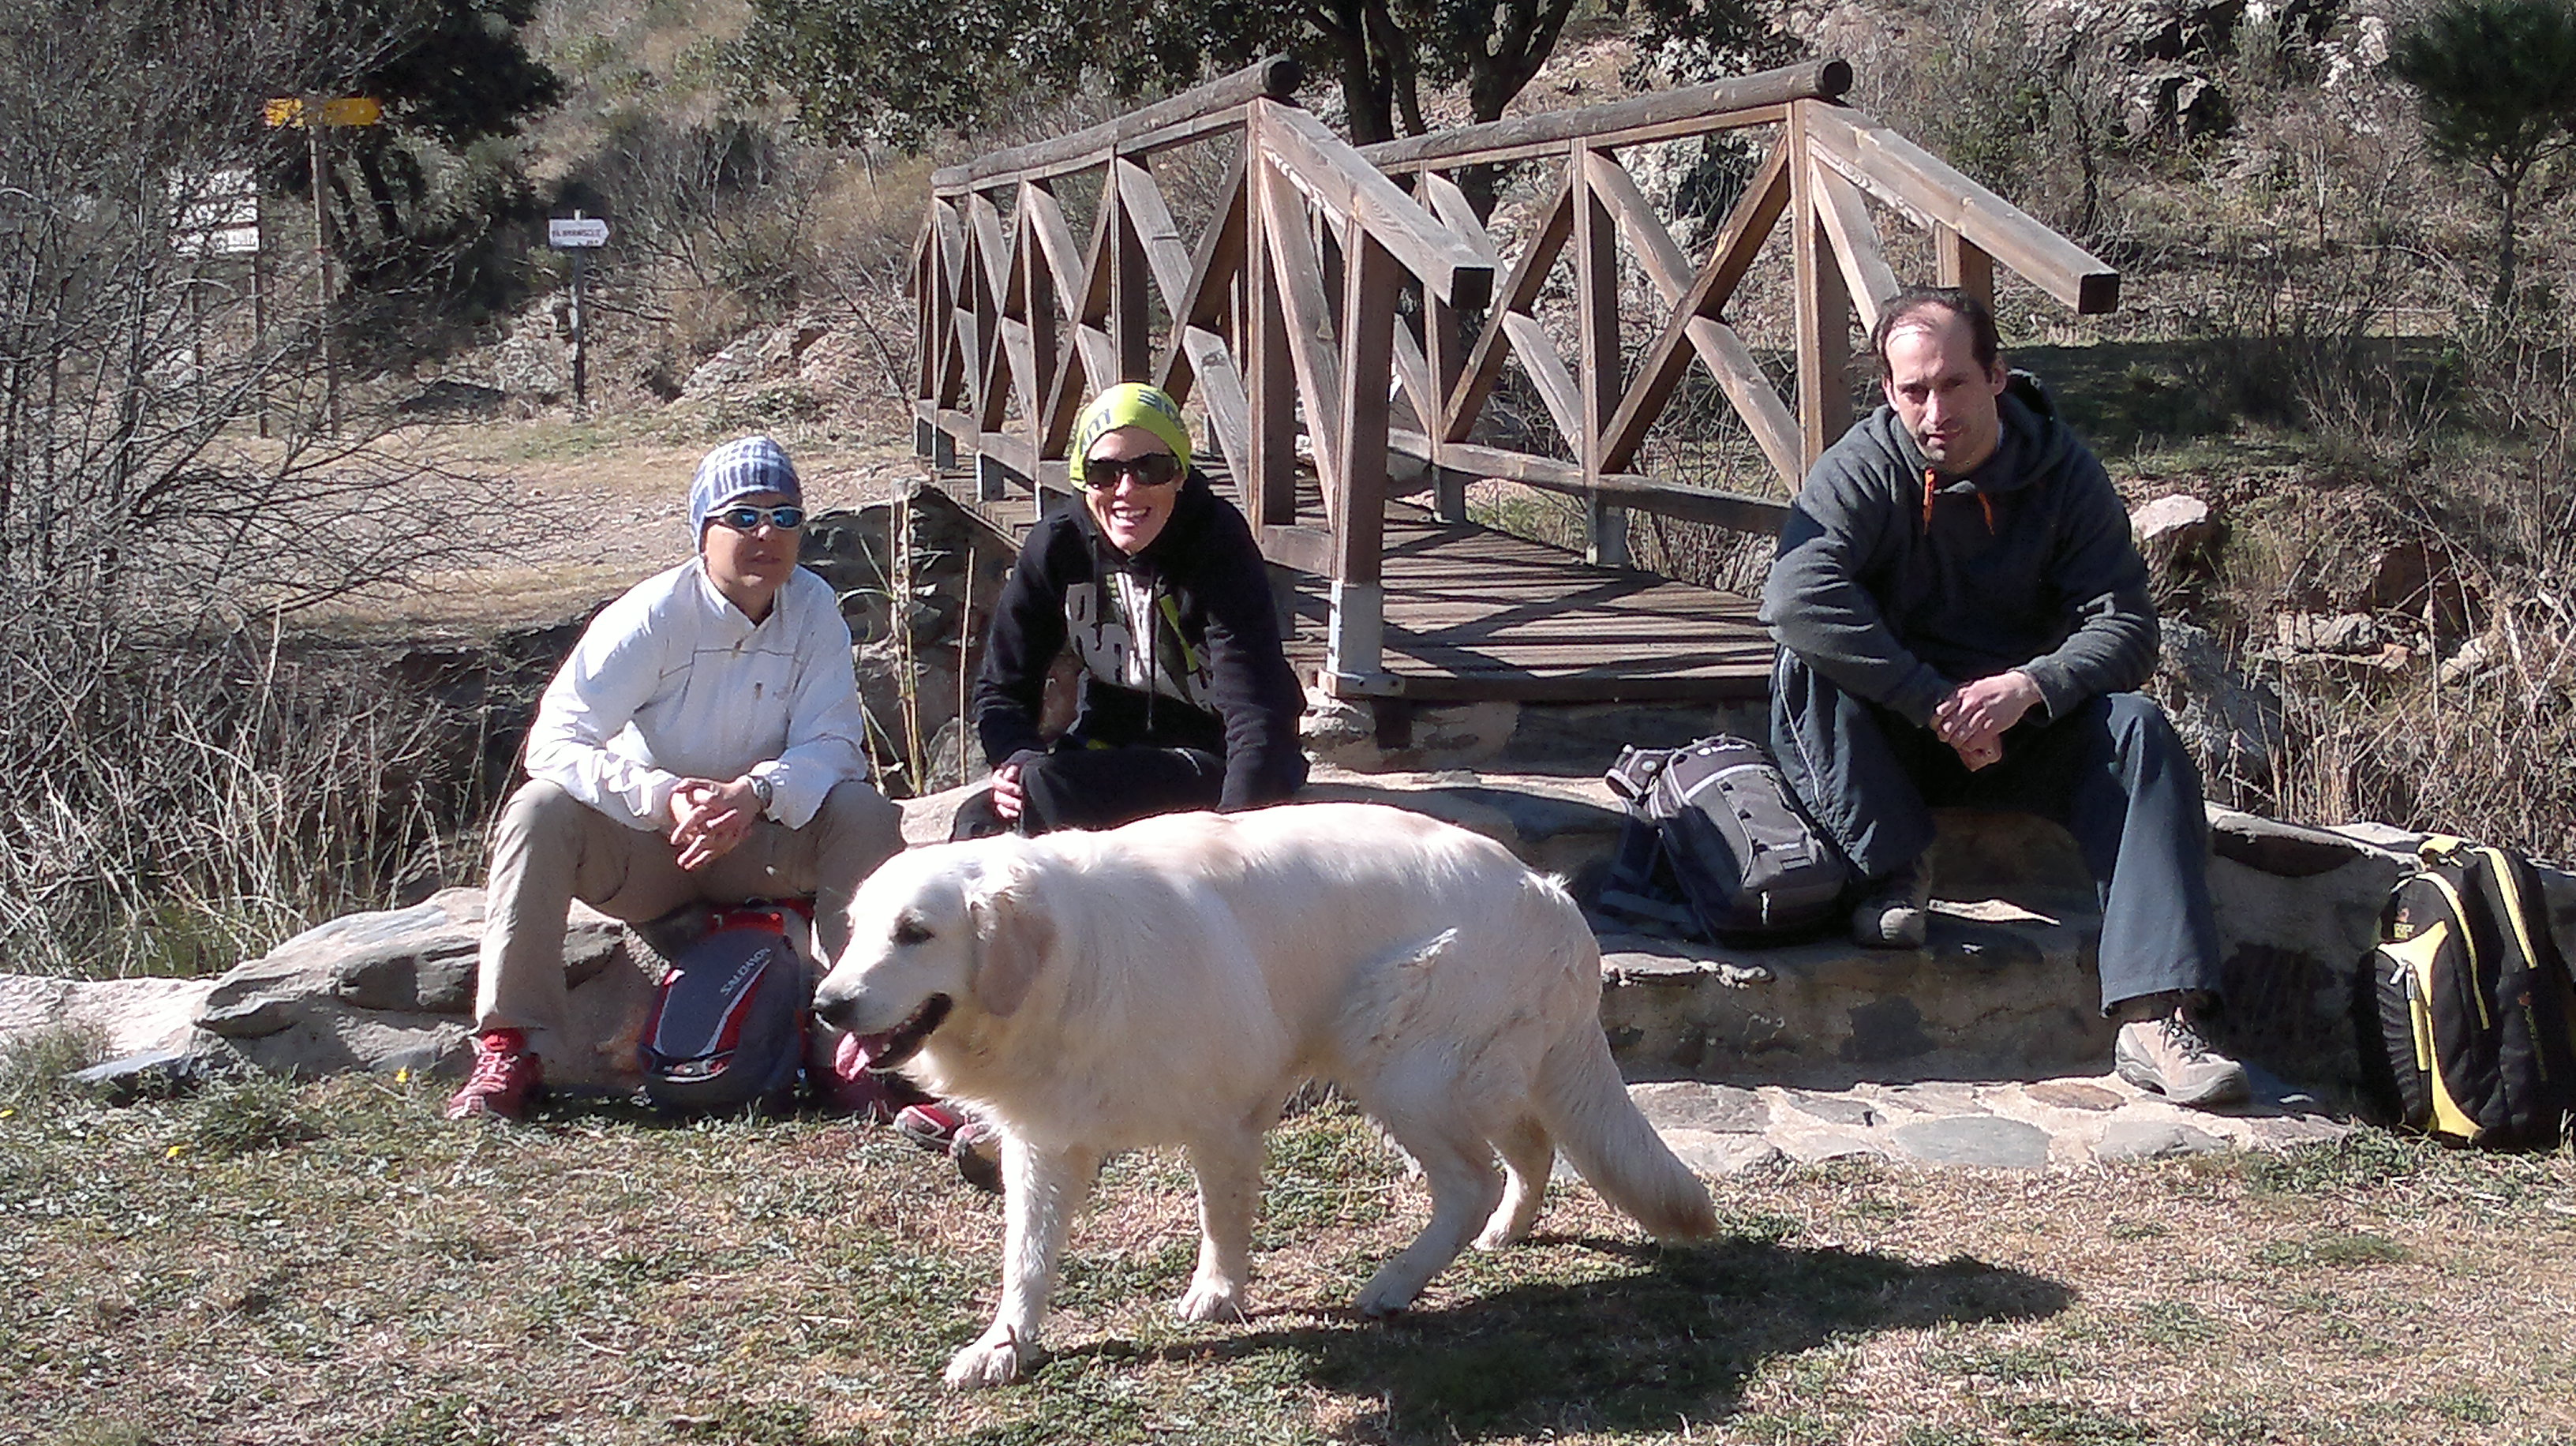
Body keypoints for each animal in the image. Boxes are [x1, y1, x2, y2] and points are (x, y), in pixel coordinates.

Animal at [812, 801, 1716, 1389]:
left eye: (915, 933)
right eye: (854, 930)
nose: (827, 1006)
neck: (1073, 966)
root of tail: (1552, 894)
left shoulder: (1225, 1117)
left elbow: (1220, 1219)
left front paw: (1216, 1294)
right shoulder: (1045, 1140)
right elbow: (1025, 1258)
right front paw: (1004, 1345)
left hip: (1395, 1059)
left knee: (1474, 1177)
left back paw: (1397, 1282)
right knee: (1530, 1146)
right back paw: (1504, 1232)